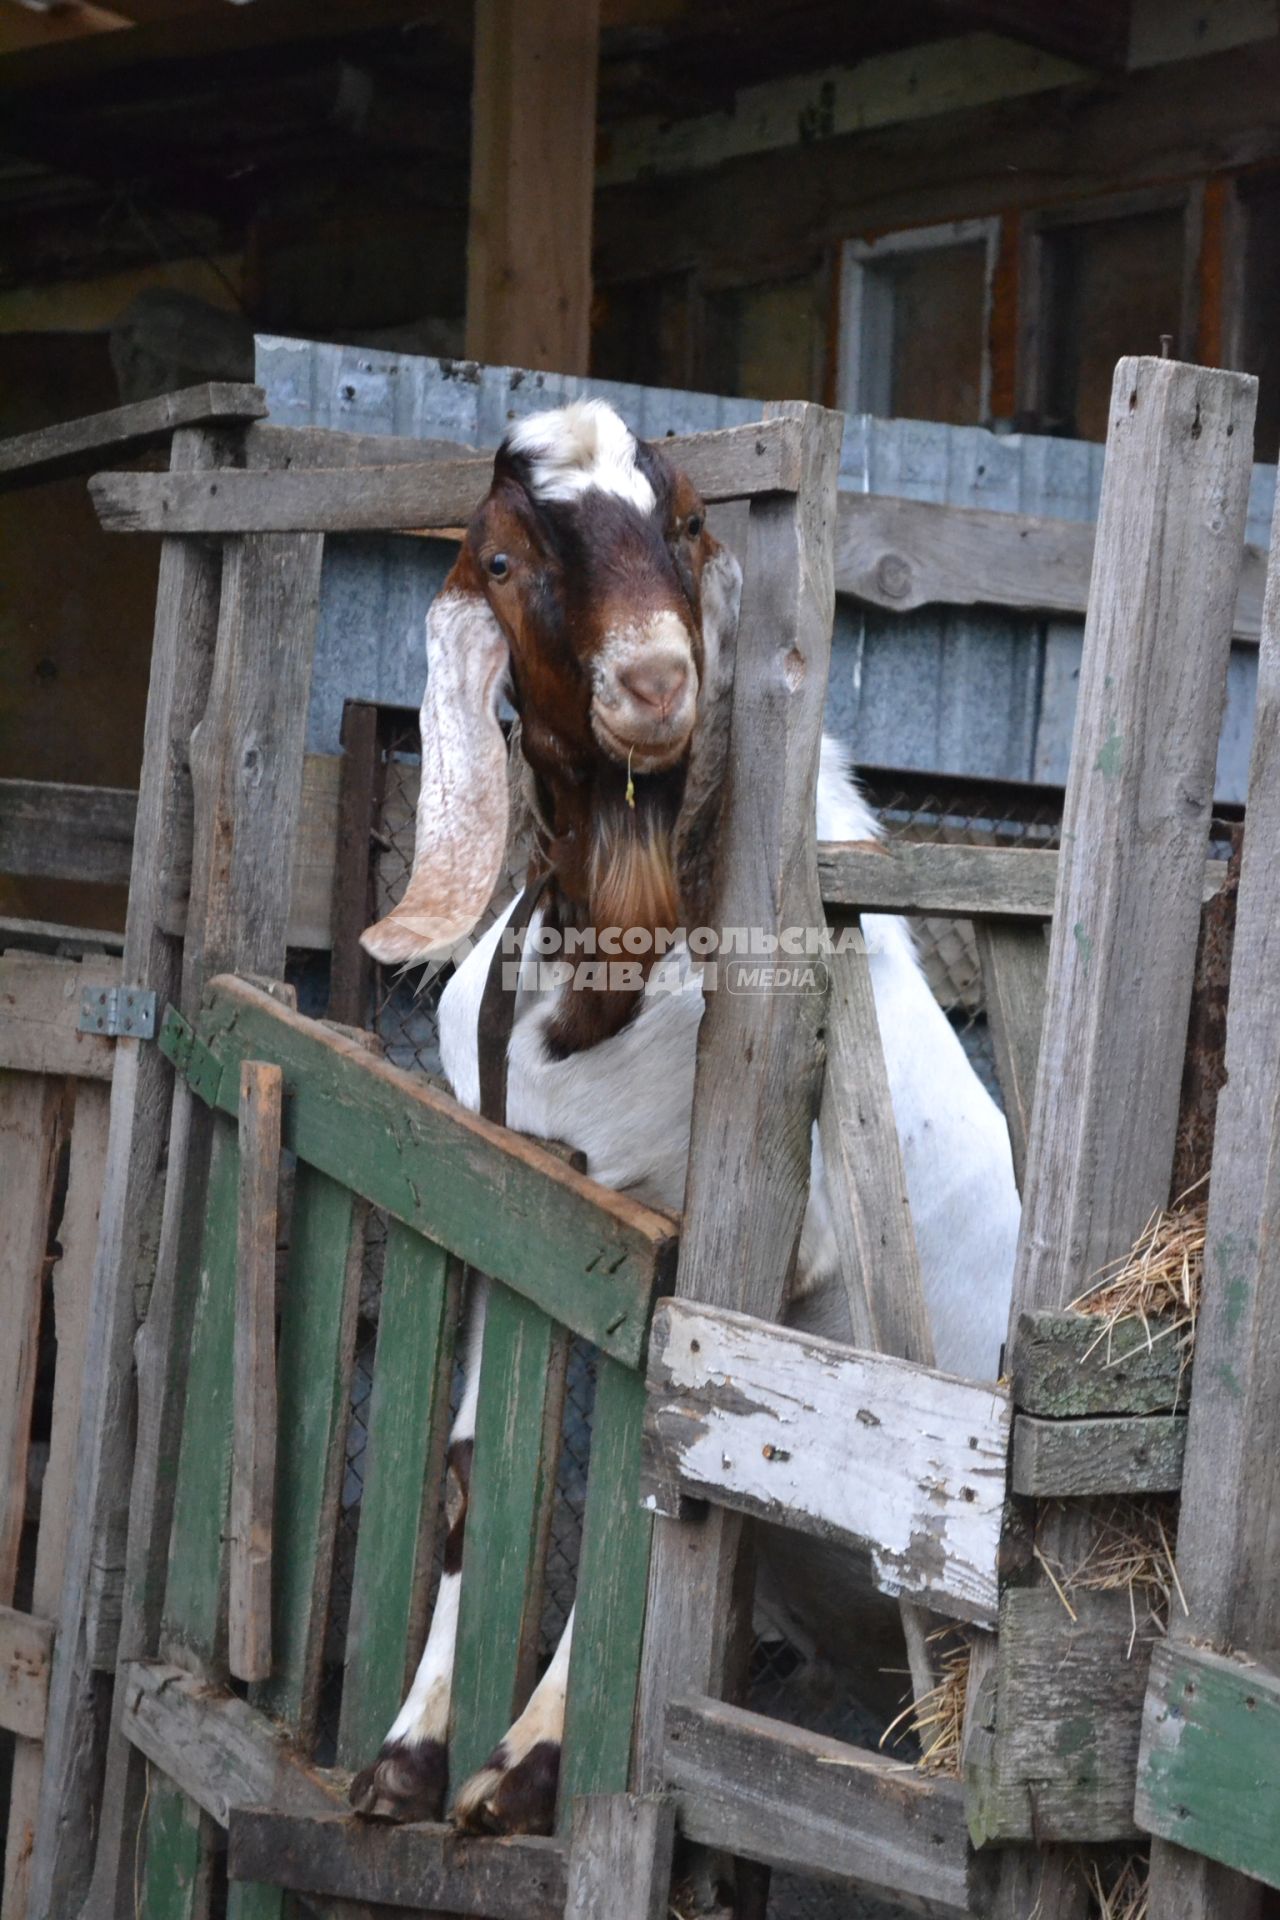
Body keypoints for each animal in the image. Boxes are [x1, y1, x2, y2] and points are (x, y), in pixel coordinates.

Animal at [351, 397, 1020, 1835]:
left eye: (688, 521)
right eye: (503, 558)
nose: (655, 684)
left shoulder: (708, 1263)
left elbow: (650, 1489)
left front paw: (525, 1767)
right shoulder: (519, 1204)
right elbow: (471, 1478)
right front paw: (409, 1756)